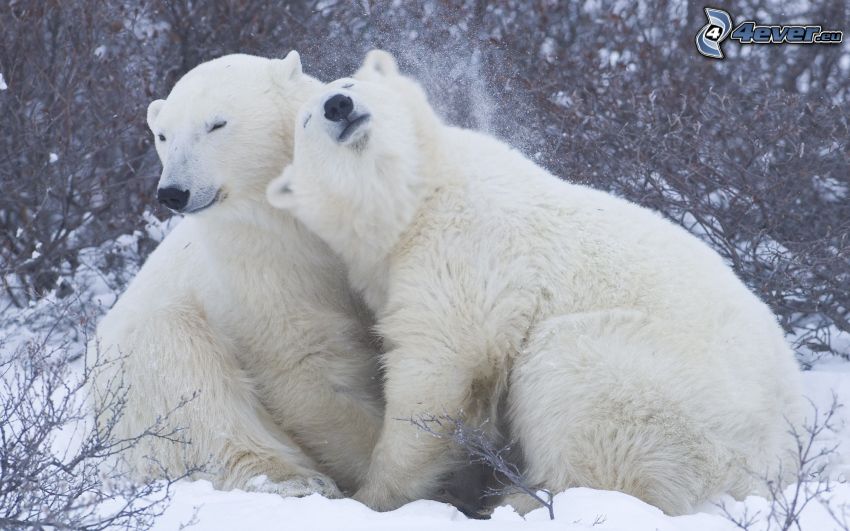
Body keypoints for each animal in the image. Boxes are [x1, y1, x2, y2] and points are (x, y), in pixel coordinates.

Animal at [90, 52, 380, 500]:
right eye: (163, 135)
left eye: (216, 124)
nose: (173, 192)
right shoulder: (259, 266)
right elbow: (307, 365)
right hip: (139, 374)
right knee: (191, 384)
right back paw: (295, 481)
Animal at [268, 51, 804, 516]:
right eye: (307, 120)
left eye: (350, 84)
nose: (339, 106)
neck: (419, 198)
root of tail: (776, 464)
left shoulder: (467, 247)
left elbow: (442, 366)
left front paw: (373, 497)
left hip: (666, 389)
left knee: (574, 381)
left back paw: (521, 498)